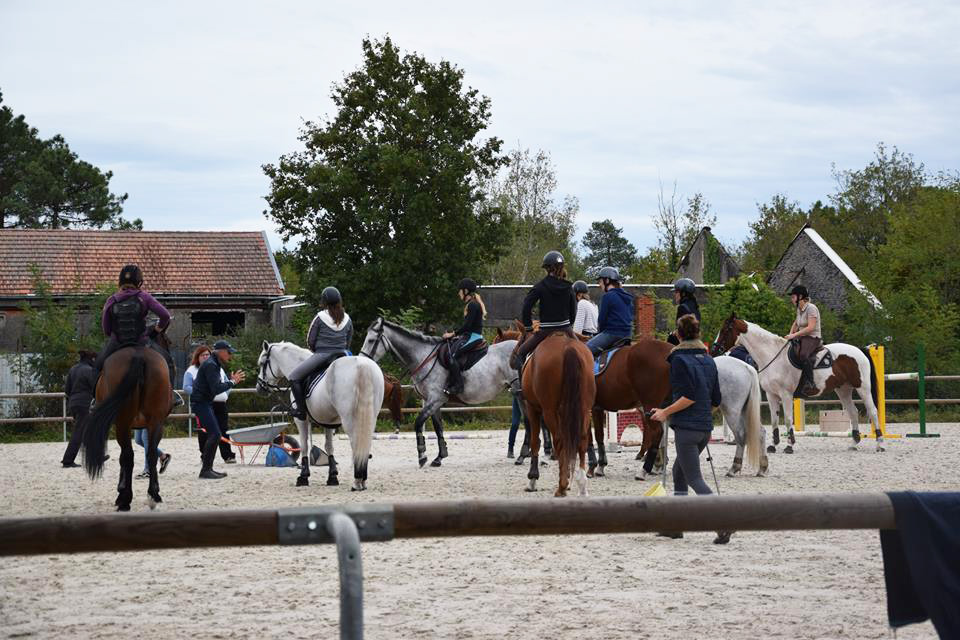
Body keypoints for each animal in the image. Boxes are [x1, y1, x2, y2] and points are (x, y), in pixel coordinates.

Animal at [81, 328, 173, 512]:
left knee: (127, 456)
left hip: (123, 424)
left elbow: (123, 458)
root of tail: (138, 355)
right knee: (150, 453)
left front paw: (121, 491)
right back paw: (153, 495)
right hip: (155, 422)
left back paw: (125, 500)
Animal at [258, 340, 390, 490]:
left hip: (349, 419)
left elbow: (304, 445)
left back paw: (357, 481)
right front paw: (332, 476)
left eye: (262, 363)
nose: (259, 387)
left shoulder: (301, 420)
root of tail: (362, 365)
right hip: (371, 417)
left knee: (356, 443)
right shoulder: (329, 421)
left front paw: (303, 476)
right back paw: (363, 480)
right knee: (365, 443)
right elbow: (329, 447)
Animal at [512, 328, 596, 498]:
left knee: (559, 439)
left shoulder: (532, 408)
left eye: (520, 340)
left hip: (549, 411)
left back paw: (561, 487)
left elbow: (535, 442)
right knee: (582, 440)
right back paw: (581, 485)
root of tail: (568, 348)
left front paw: (532, 479)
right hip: (584, 409)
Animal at [708, 312, 880, 452]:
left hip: (863, 388)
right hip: (843, 390)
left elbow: (788, 420)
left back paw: (879, 443)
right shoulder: (771, 395)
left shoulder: (786, 395)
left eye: (725, 330)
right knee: (853, 412)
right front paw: (773, 445)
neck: (772, 355)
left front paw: (789, 446)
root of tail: (859, 350)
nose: (714, 350)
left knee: (872, 411)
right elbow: (774, 420)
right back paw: (854, 443)